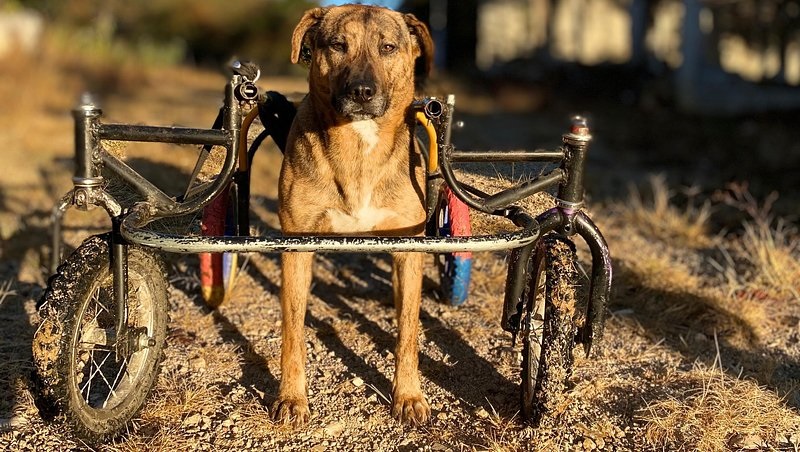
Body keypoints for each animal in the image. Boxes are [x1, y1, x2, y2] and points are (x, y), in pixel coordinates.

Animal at [276, 5, 434, 426]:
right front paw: (291, 397)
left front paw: (408, 394)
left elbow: (408, 330)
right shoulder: (296, 248)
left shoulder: (409, 248)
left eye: (388, 47)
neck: (359, 142)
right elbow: (293, 332)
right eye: (337, 45)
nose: (362, 92)